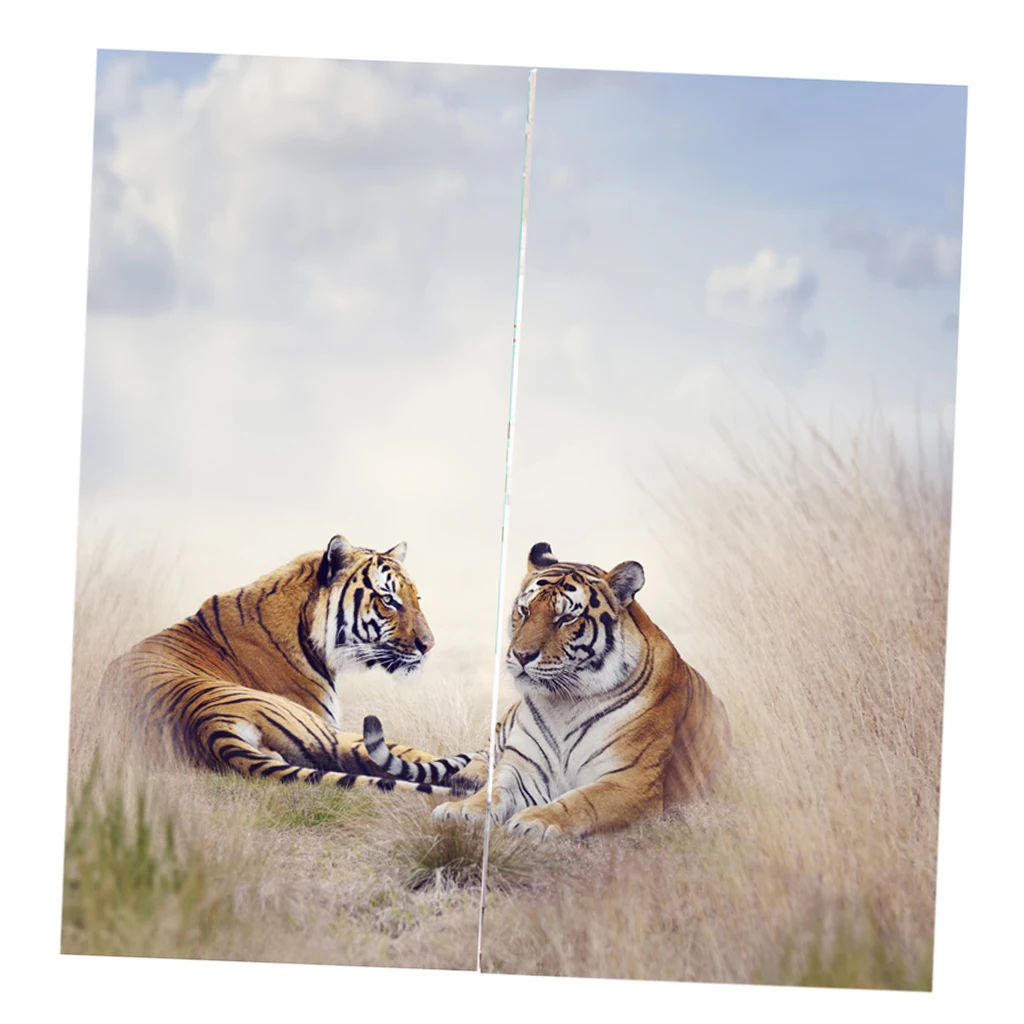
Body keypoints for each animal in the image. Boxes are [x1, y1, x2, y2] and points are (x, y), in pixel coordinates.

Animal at [394, 541, 732, 837]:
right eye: (524, 610)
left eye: (567, 617)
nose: (522, 655)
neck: (564, 702)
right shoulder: (522, 766)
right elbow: (494, 790)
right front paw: (461, 810)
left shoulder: (630, 780)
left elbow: (581, 800)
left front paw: (535, 821)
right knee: (482, 755)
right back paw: (466, 778)